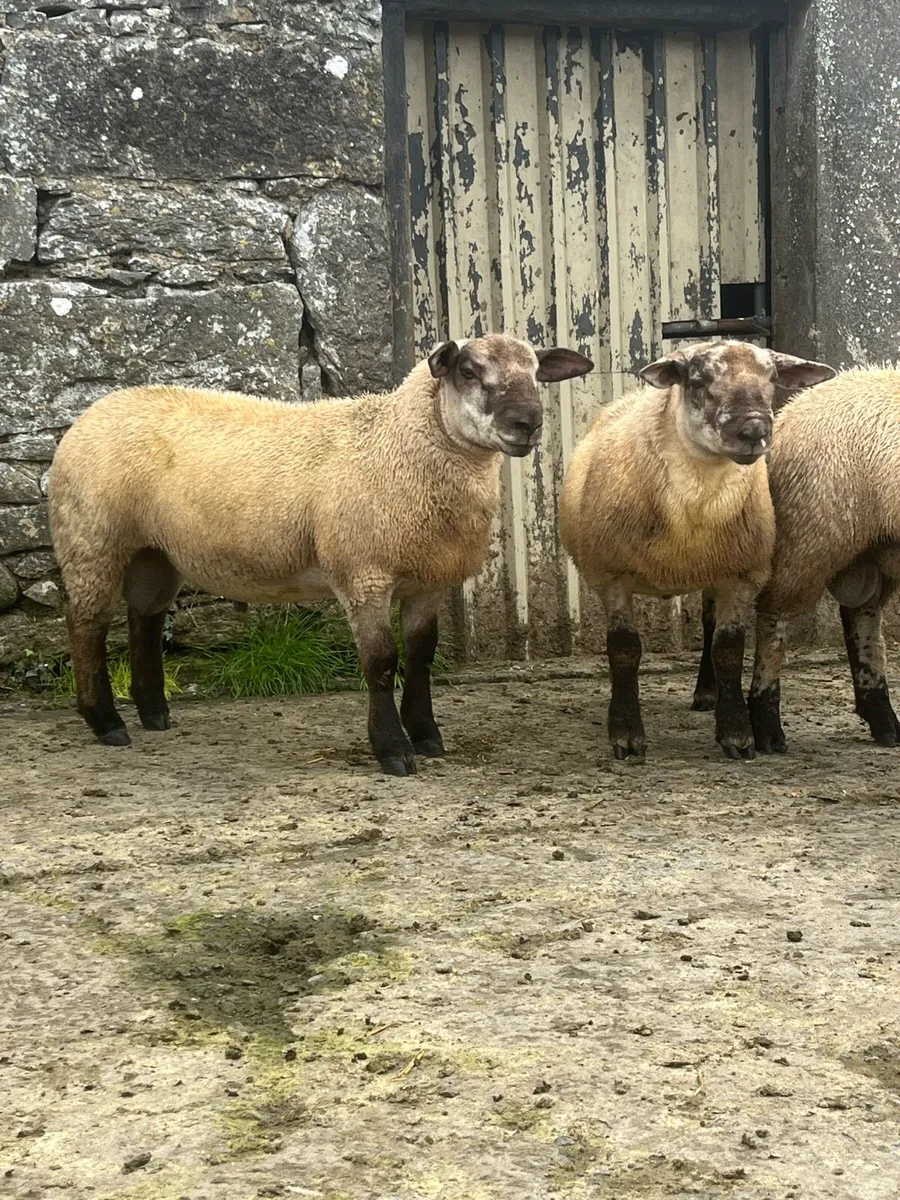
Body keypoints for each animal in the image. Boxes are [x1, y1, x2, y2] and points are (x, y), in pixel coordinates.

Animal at [48, 334, 593, 775]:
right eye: (468, 371)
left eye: (535, 372)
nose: (527, 424)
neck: (399, 441)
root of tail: (94, 411)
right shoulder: (364, 571)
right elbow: (381, 662)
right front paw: (393, 750)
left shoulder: (429, 578)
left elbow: (420, 657)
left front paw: (427, 736)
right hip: (91, 536)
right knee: (87, 624)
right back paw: (106, 723)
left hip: (153, 550)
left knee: (144, 617)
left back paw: (153, 713)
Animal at [559, 340, 835, 762]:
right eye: (699, 381)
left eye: (772, 379)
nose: (754, 430)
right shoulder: (612, 574)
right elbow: (624, 648)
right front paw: (625, 735)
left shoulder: (740, 573)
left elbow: (728, 648)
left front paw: (736, 734)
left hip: (712, 566)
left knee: (707, 626)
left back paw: (709, 692)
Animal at [746, 367, 900, 753]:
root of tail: (790, 413)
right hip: (811, 531)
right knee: (774, 618)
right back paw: (766, 727)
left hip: (875, 544)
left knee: (862, 616)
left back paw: (884, 720)